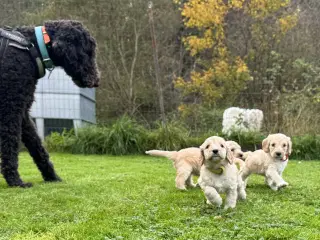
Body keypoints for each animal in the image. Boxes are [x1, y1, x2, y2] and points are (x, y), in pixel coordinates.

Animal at [0, 19, 99, 187]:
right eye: (88, 52)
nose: (97, 81)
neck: (34, 46)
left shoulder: (23, 112)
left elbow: (37, 147)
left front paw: (52, 176)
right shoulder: (11, 108)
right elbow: (10, 145)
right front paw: (15, 181)